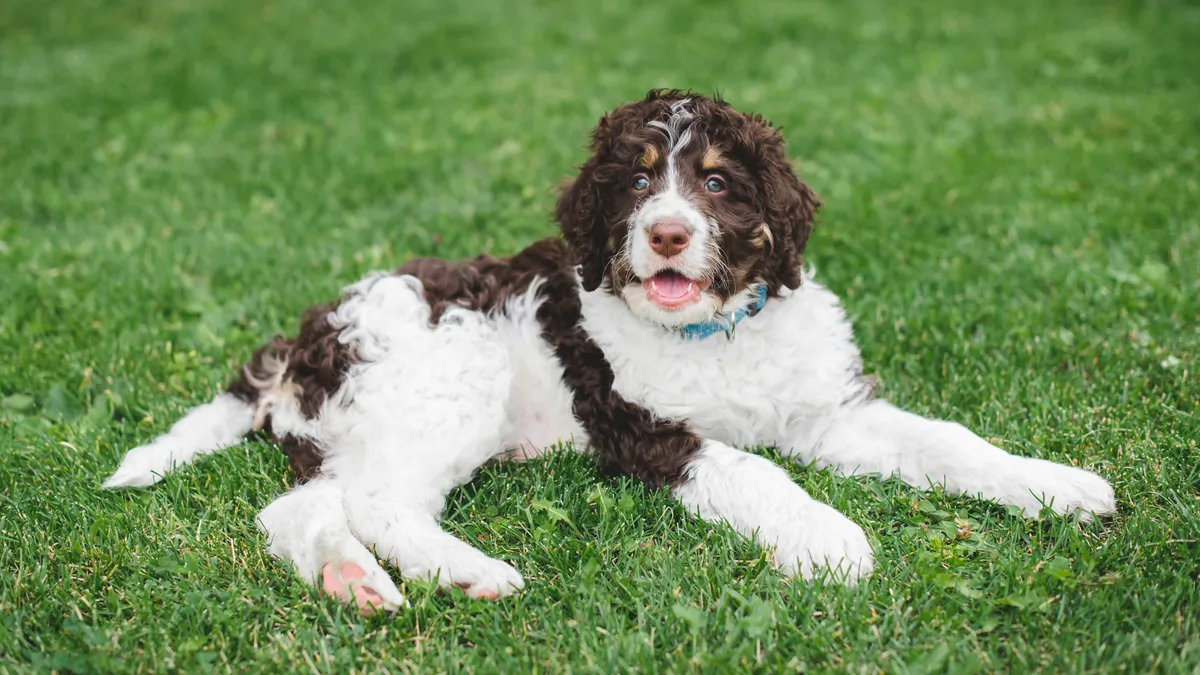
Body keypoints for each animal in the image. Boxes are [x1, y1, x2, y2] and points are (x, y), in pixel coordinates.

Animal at [103, 91, 1113, 612]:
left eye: (717, 182)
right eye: (635, 180)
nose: (666, 234)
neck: (715, 331)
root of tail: (308, 334)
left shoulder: (831, 412)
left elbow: (949, 441)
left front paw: (1057, 486)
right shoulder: (645, 428)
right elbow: (758, 472)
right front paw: (832, 541)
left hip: (361, 424)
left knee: (299, 507)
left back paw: (353, 582)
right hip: (447, 377)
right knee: (380, 502)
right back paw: (469, 571)